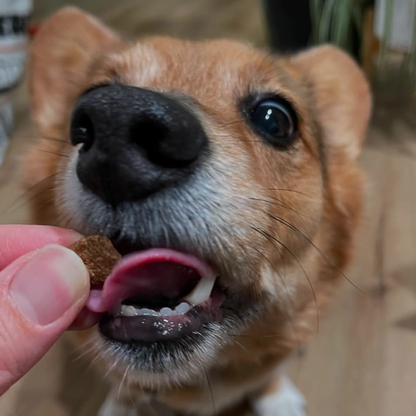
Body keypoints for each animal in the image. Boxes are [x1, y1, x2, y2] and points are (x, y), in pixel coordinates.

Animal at [21, 7, 372, 416]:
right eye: (89, 96)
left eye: (276, 119)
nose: (117, 127)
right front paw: (120, 405)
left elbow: (269, 373)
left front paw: (276, 396)